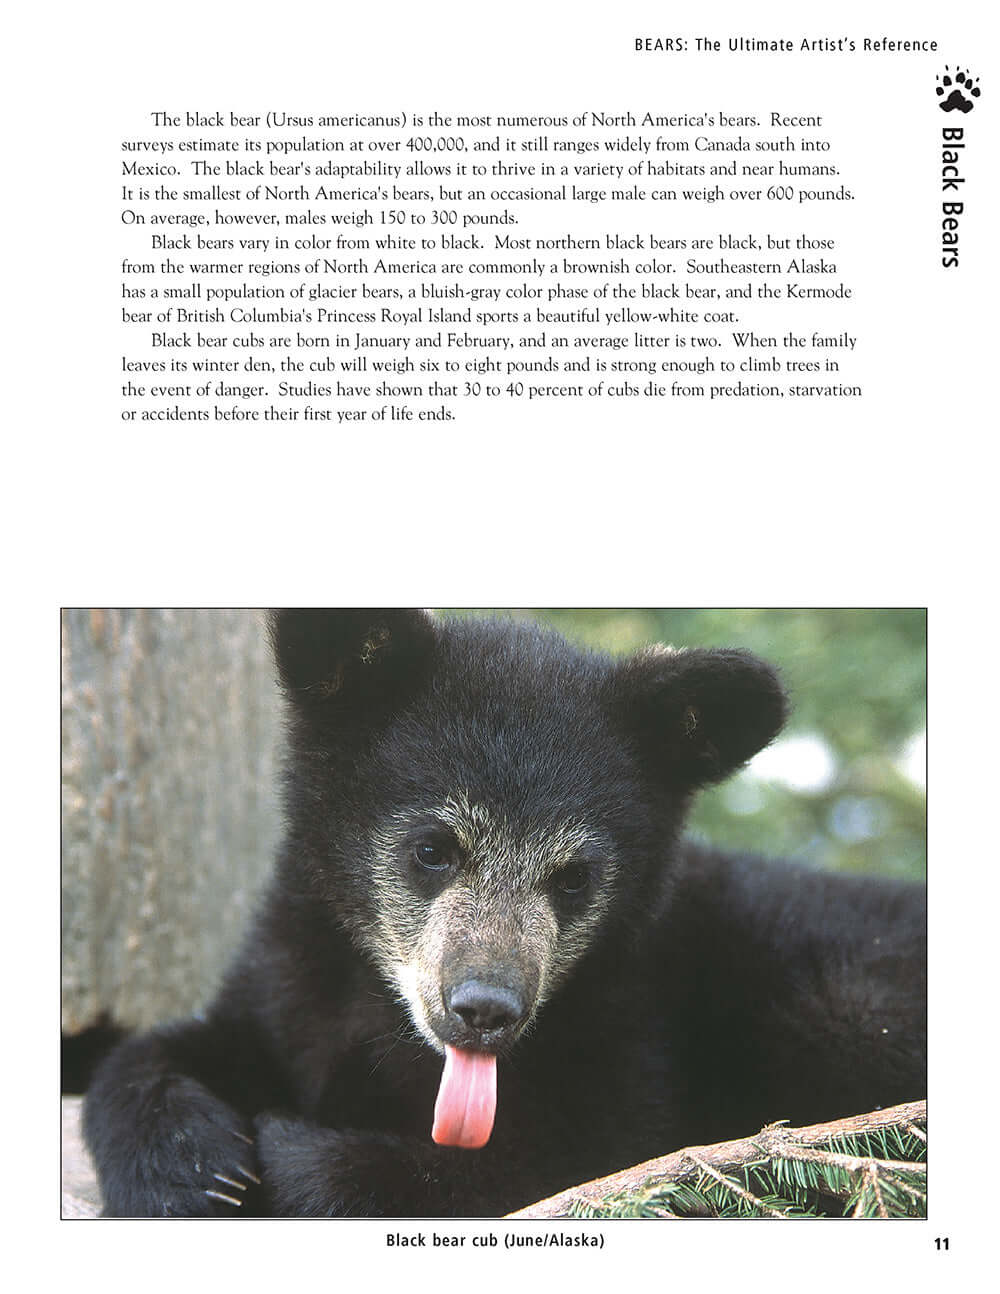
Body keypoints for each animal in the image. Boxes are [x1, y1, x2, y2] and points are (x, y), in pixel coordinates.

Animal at [83, 609, 926, 1217]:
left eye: (576, 877)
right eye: (432, 847)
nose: (486, 1008)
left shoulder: (629, 1041)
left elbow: (556, 1160)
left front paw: (290, 1151)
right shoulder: (292, 979)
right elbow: (169, 1048)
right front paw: (187, 1167)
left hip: (846, 998)